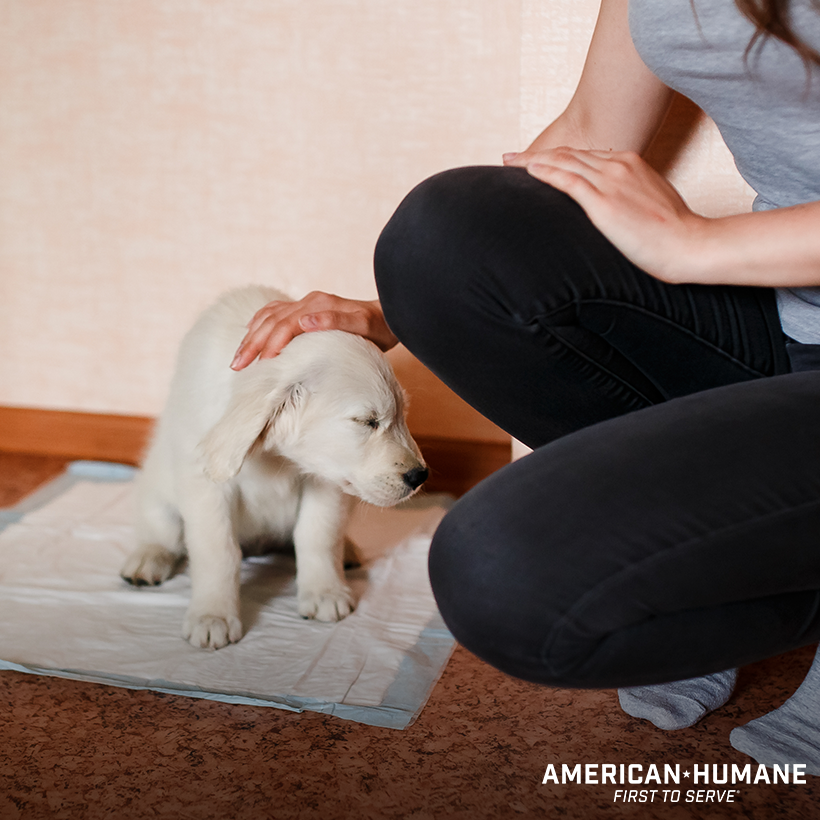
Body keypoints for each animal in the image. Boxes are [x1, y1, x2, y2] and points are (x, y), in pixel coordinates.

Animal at [123, 286, 430, 652]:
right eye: (366, 421)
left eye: (402, 416)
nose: (420, 476)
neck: (276, 456)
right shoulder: (205, 485)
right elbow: (217, 551)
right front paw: (213, 616)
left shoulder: (326, 481)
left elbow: (318, 535)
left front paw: (324, 592)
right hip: (156, 486)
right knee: (159, 528)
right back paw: (146, 559)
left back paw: (348, 550)